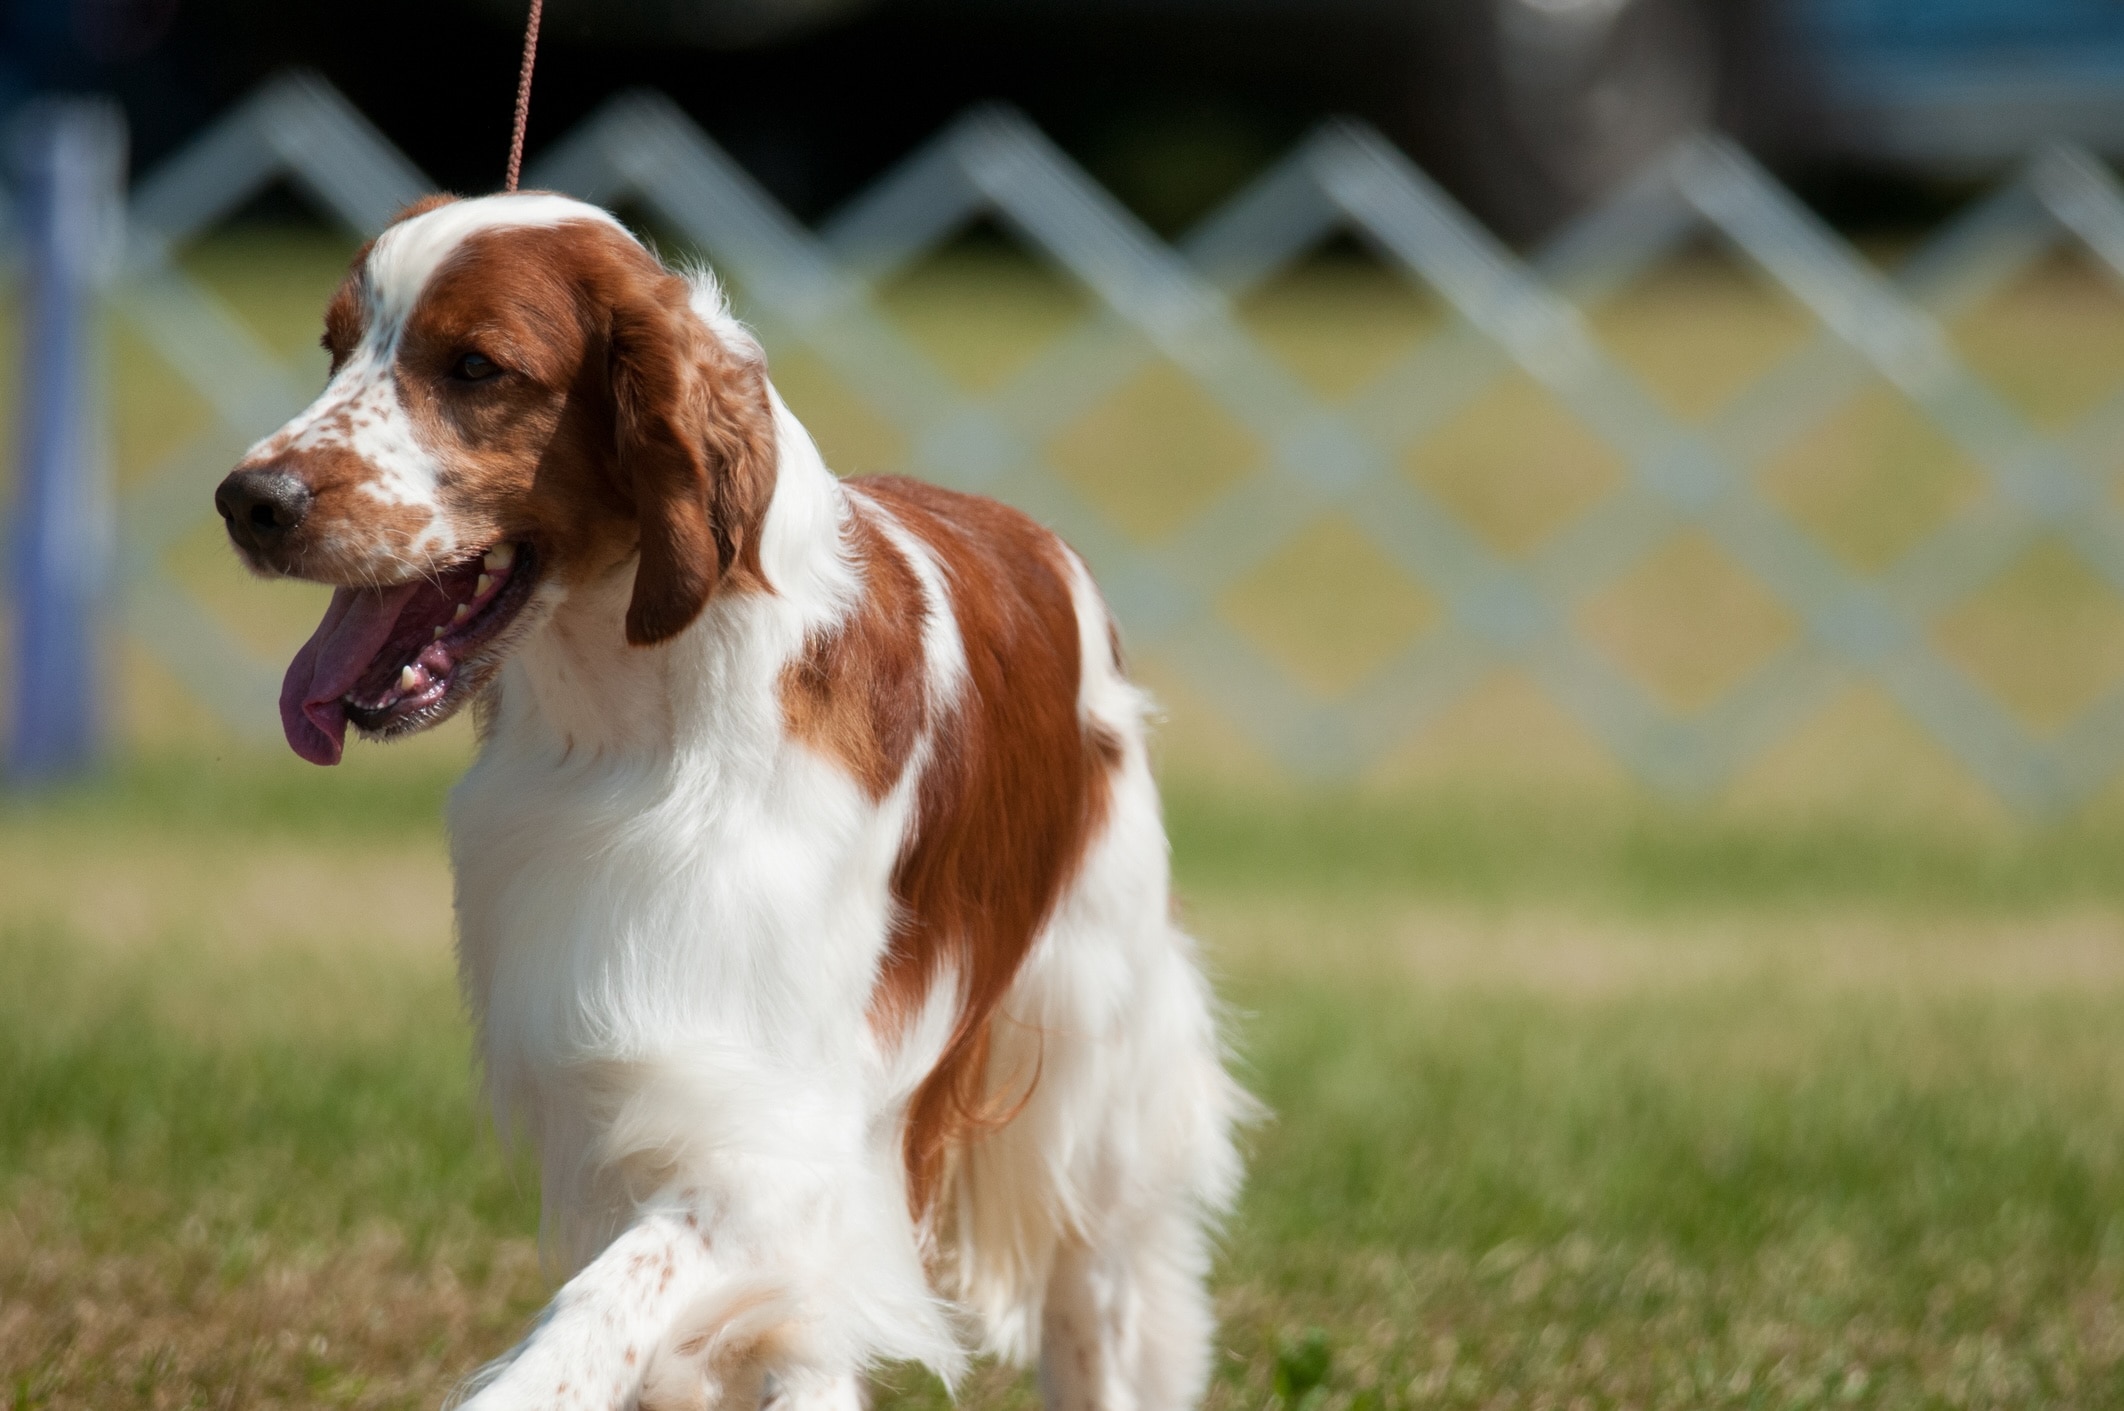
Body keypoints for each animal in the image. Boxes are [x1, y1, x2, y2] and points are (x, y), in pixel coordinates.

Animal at [215, 190, 1240, 1411]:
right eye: (333, 348)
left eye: (476, 366)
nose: (248, 500)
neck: (634, 722)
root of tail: (1039, 540)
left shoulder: (779, 1141)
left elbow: (597, 1314)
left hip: (1092, 1066)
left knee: (1101, 1289)